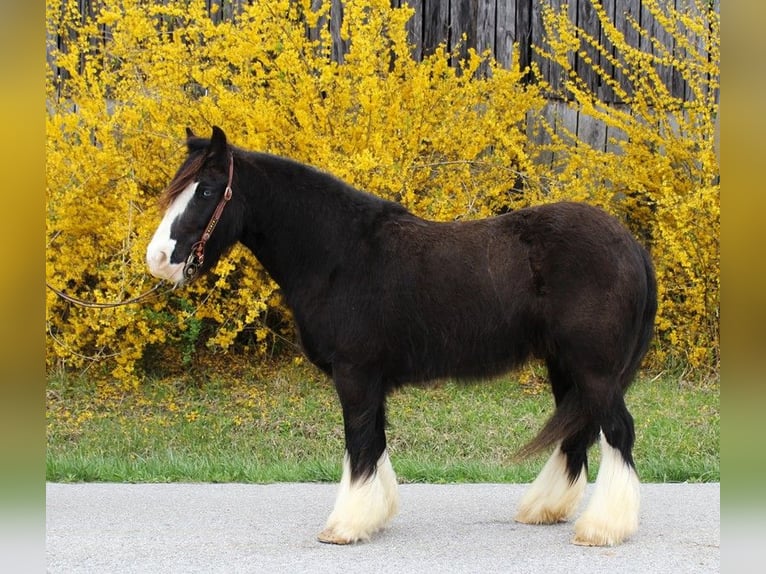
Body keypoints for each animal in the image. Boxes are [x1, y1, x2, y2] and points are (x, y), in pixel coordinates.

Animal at [146, 125, 660, 548]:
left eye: (207, 190)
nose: (159, 259)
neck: (338, 254)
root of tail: (631, 245)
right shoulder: (369, 379)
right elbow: (373, 443)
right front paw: (374, 515)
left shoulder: (354, 374)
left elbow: (359, 444)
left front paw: (345, 526)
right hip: (564, 366)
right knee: (579, 430)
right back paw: (546, 509)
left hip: (593, 370)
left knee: (617, 431)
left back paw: (601, 529)